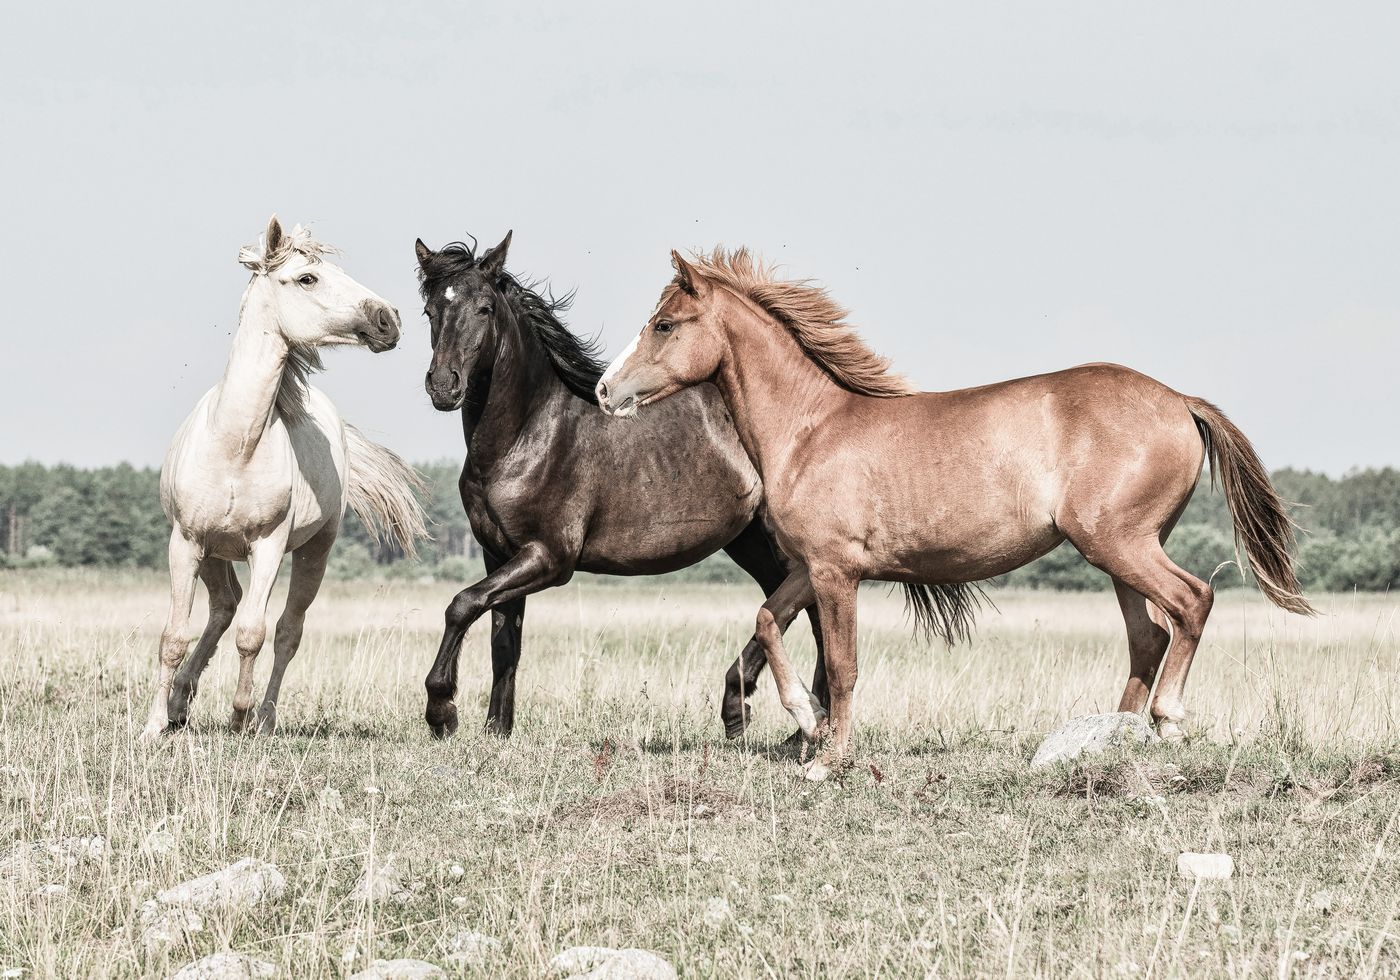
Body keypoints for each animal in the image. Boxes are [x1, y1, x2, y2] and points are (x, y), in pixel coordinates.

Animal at [142, 214, 428, 733]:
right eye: (307, 278)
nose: (389, 318)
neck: (235, 447)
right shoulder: (186, 542)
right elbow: (173, 635)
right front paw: (154, 725)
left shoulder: (268, 546)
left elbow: (253, 634)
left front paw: (239, 716)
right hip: (212, 552)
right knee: (224, 606)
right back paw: (180, 702)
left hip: (315, 550)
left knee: (285, 632)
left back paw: (264, 718)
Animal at [411, 231, 817, 733]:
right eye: (430, 310)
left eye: (484, 308)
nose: (443, 386)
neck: (526, 436)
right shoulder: (498, 554)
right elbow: (503, 643)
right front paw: (496, 731)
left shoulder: (549, 558)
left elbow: (462, 604)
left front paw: (441, 710)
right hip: (750, 541)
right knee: (793, 606)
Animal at [599, 250, 1310, 778]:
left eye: (664, 324)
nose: (606, 390)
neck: (810, 430)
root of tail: (1178, 400)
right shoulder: (810, 567)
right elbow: (768, 621)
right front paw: (804, 720)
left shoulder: (836, 572)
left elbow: (843, 664)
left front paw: (827, 758)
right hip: (1118, 553)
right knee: (1149, 636)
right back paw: (1113, 737)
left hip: (1122, 543)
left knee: (1191, 602)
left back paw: (1166, 721)